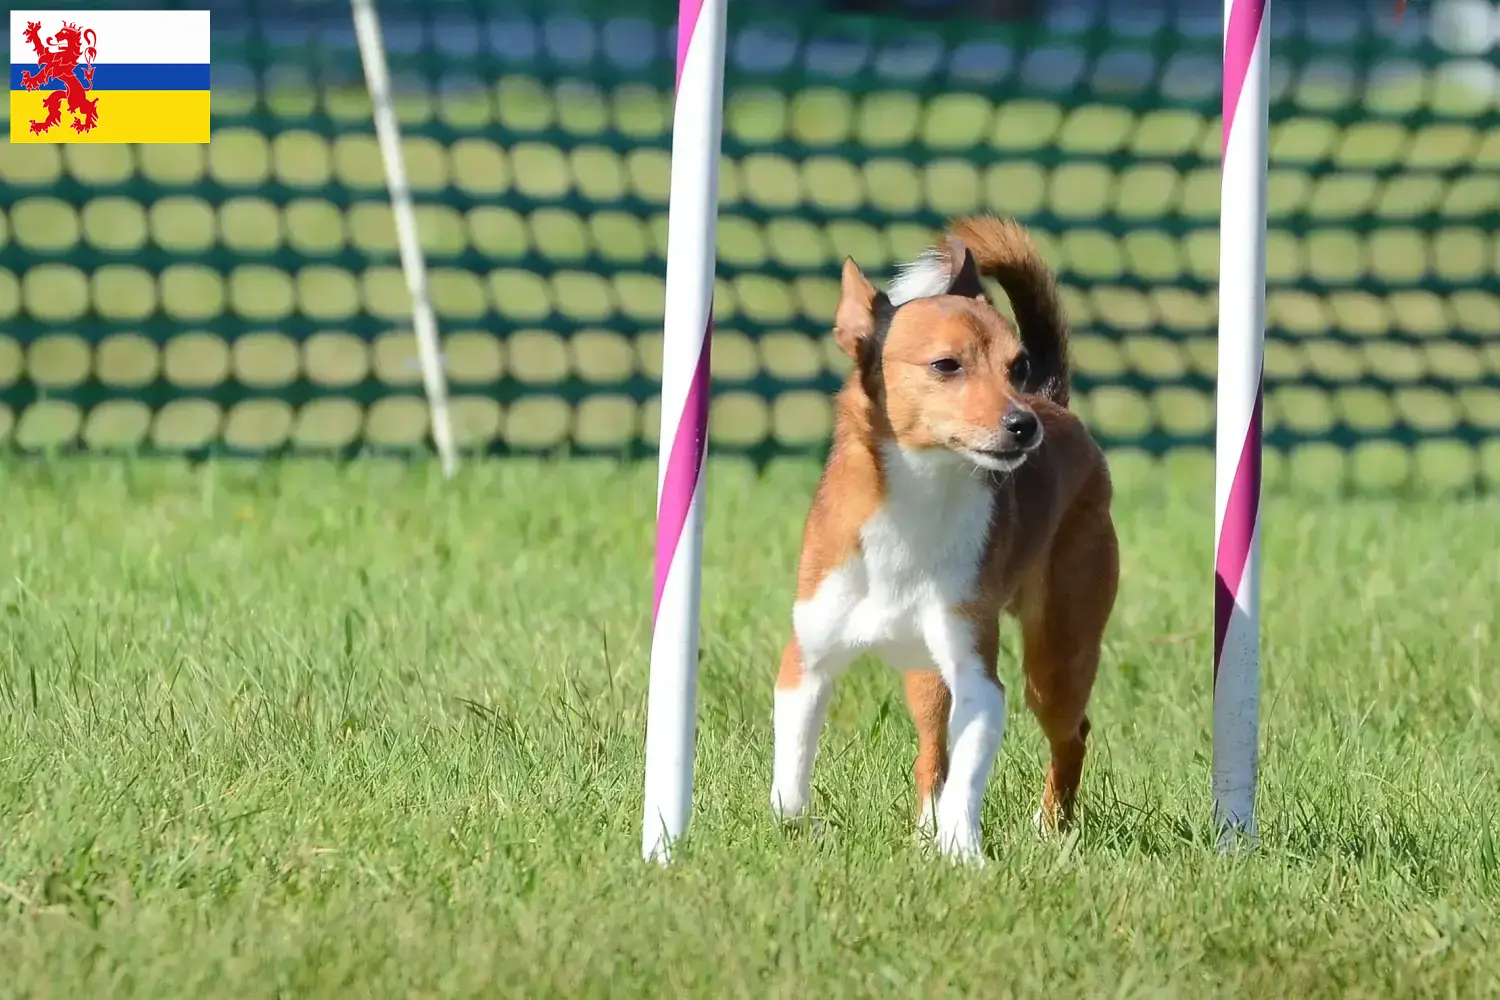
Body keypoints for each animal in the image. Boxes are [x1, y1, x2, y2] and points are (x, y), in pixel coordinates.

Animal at [774, 212, 1116, 863]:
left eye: (1015, 366)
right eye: (945, 366)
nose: (1022, 424)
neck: (917, 502)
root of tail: (1054, 401)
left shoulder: (979, 677)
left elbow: (969, 777)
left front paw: (963, 852)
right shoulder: (807, 660)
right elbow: (793, 770)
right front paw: (798, 826)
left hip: (1055, 660)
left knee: (1072, 732)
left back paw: (1049, 828)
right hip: (927, 679)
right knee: (932, 751)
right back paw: (925, 828)